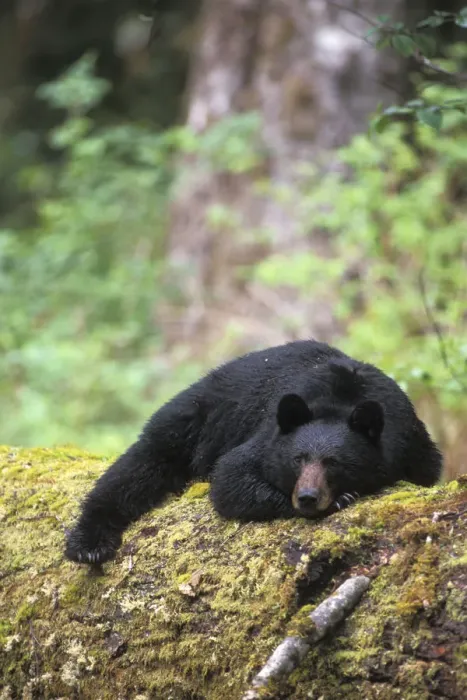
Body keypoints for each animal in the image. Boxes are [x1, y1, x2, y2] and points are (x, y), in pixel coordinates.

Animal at [65, 340, 442, 565]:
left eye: (335, 462)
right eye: (298, 459)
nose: (308, 497)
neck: (343, 397)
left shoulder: (411, 441)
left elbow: (428, 471)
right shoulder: (268, 435)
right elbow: (232, 476)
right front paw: (339, 500)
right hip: (190, 421)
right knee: (137, 468)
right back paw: (88, 544)